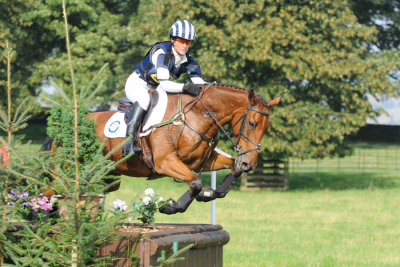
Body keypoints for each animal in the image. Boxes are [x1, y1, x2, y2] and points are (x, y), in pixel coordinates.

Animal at [89, 82, 280, 215]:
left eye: (266, 128)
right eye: (251, 124)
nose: (249, 164)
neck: (196, 116)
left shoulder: (202, 161)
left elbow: (233, 168)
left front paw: (210, 193)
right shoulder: (165, 162)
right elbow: (195, 182)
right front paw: (171, 206)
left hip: (110, 176)